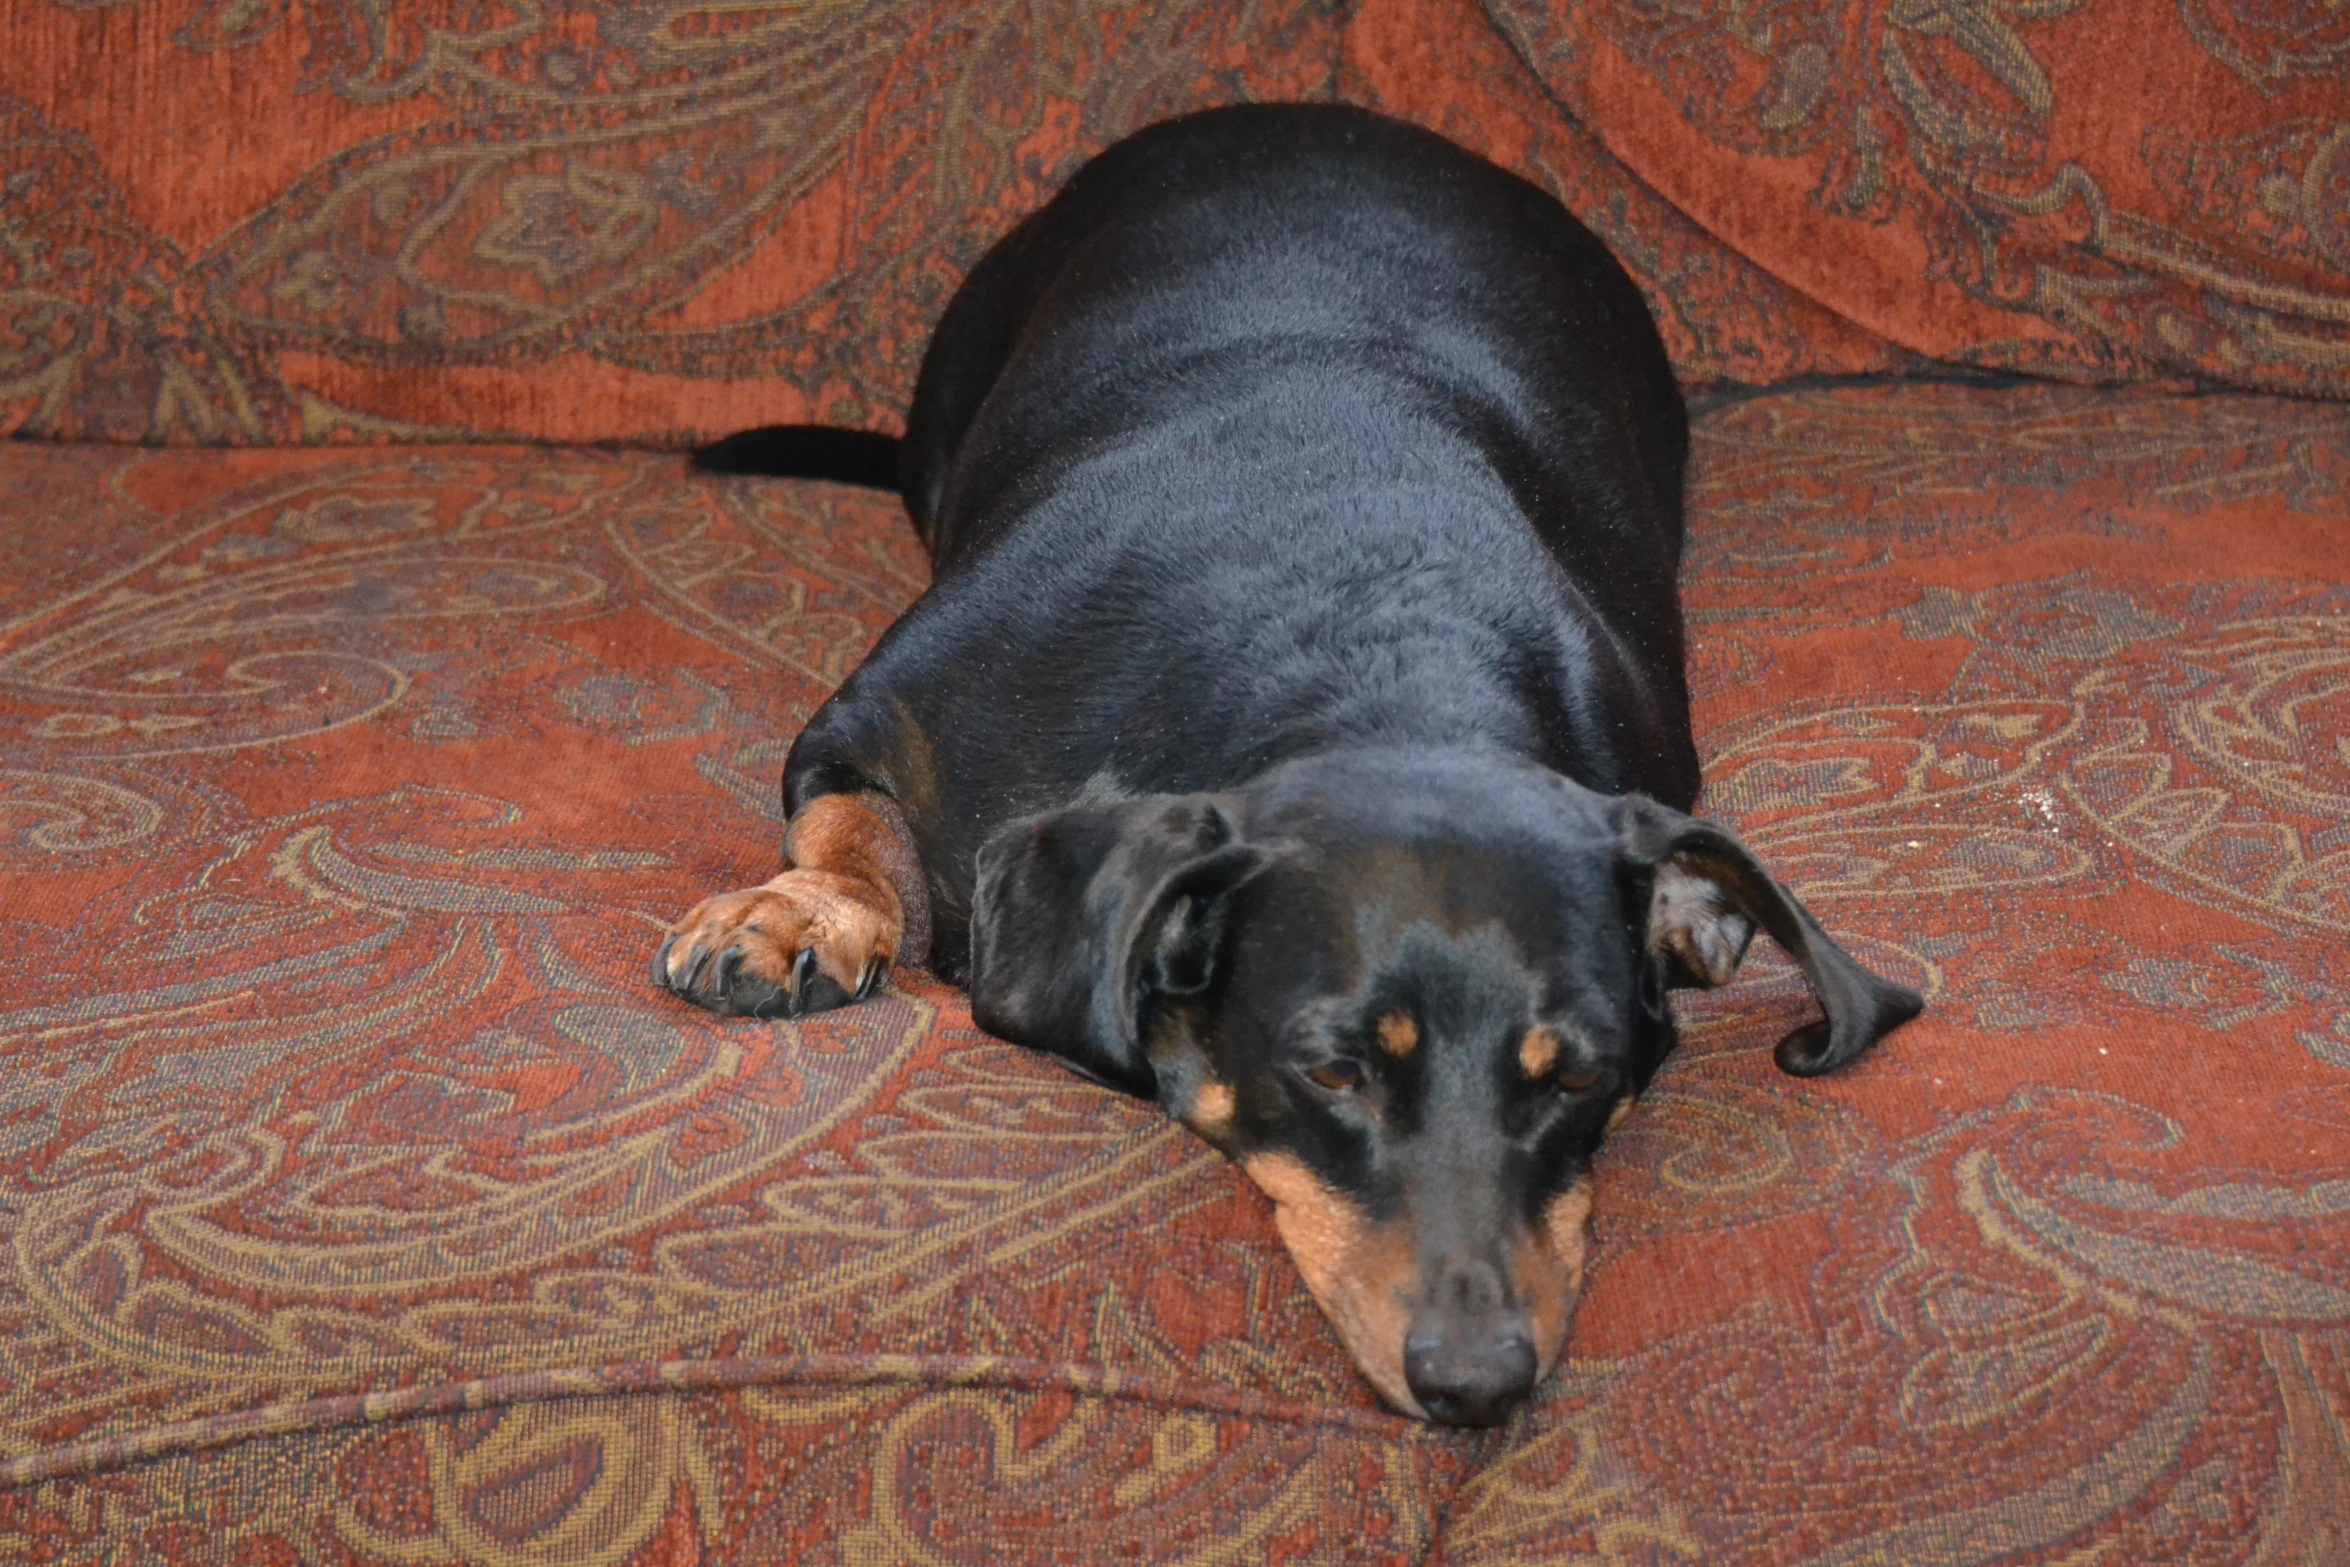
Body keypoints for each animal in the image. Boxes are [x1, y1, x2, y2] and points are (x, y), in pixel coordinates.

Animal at [653, 103, 1917, 1437]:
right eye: (1331, 1071)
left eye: (1580, 1074)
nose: (1478, 1384)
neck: (1381, 668)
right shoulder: (873, 713)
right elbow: (856, 827)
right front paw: (799, 917)